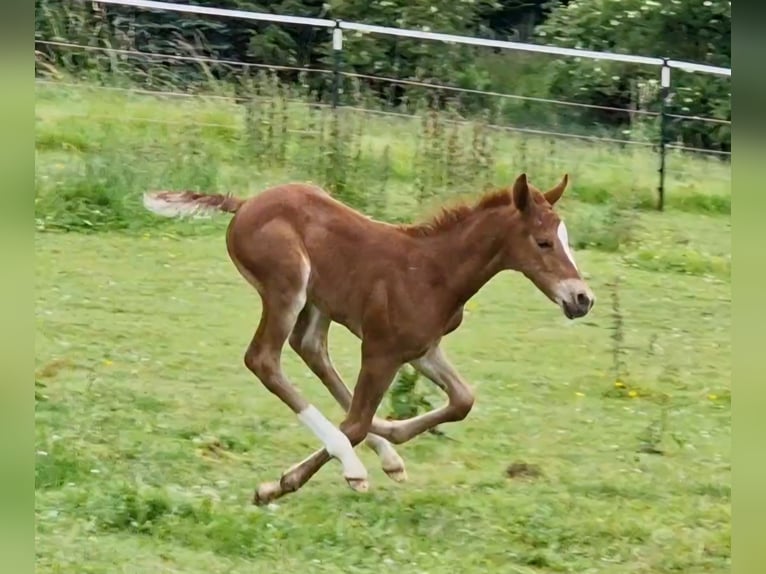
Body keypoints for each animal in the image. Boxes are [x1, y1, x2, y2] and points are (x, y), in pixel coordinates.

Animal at [146, 173, 600, 506]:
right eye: (543, 242)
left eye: (566, 240)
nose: (582, 299)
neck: (435, 272)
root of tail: (244, 204)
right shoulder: (381, 350)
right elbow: (357, 423)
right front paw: (279, 484)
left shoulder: (422, 348)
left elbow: (462, 400)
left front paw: (391, 441)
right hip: (287, 286)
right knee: (265, 360)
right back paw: (353, 466)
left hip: (319, 301)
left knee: (310, 349)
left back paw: (384, 454)